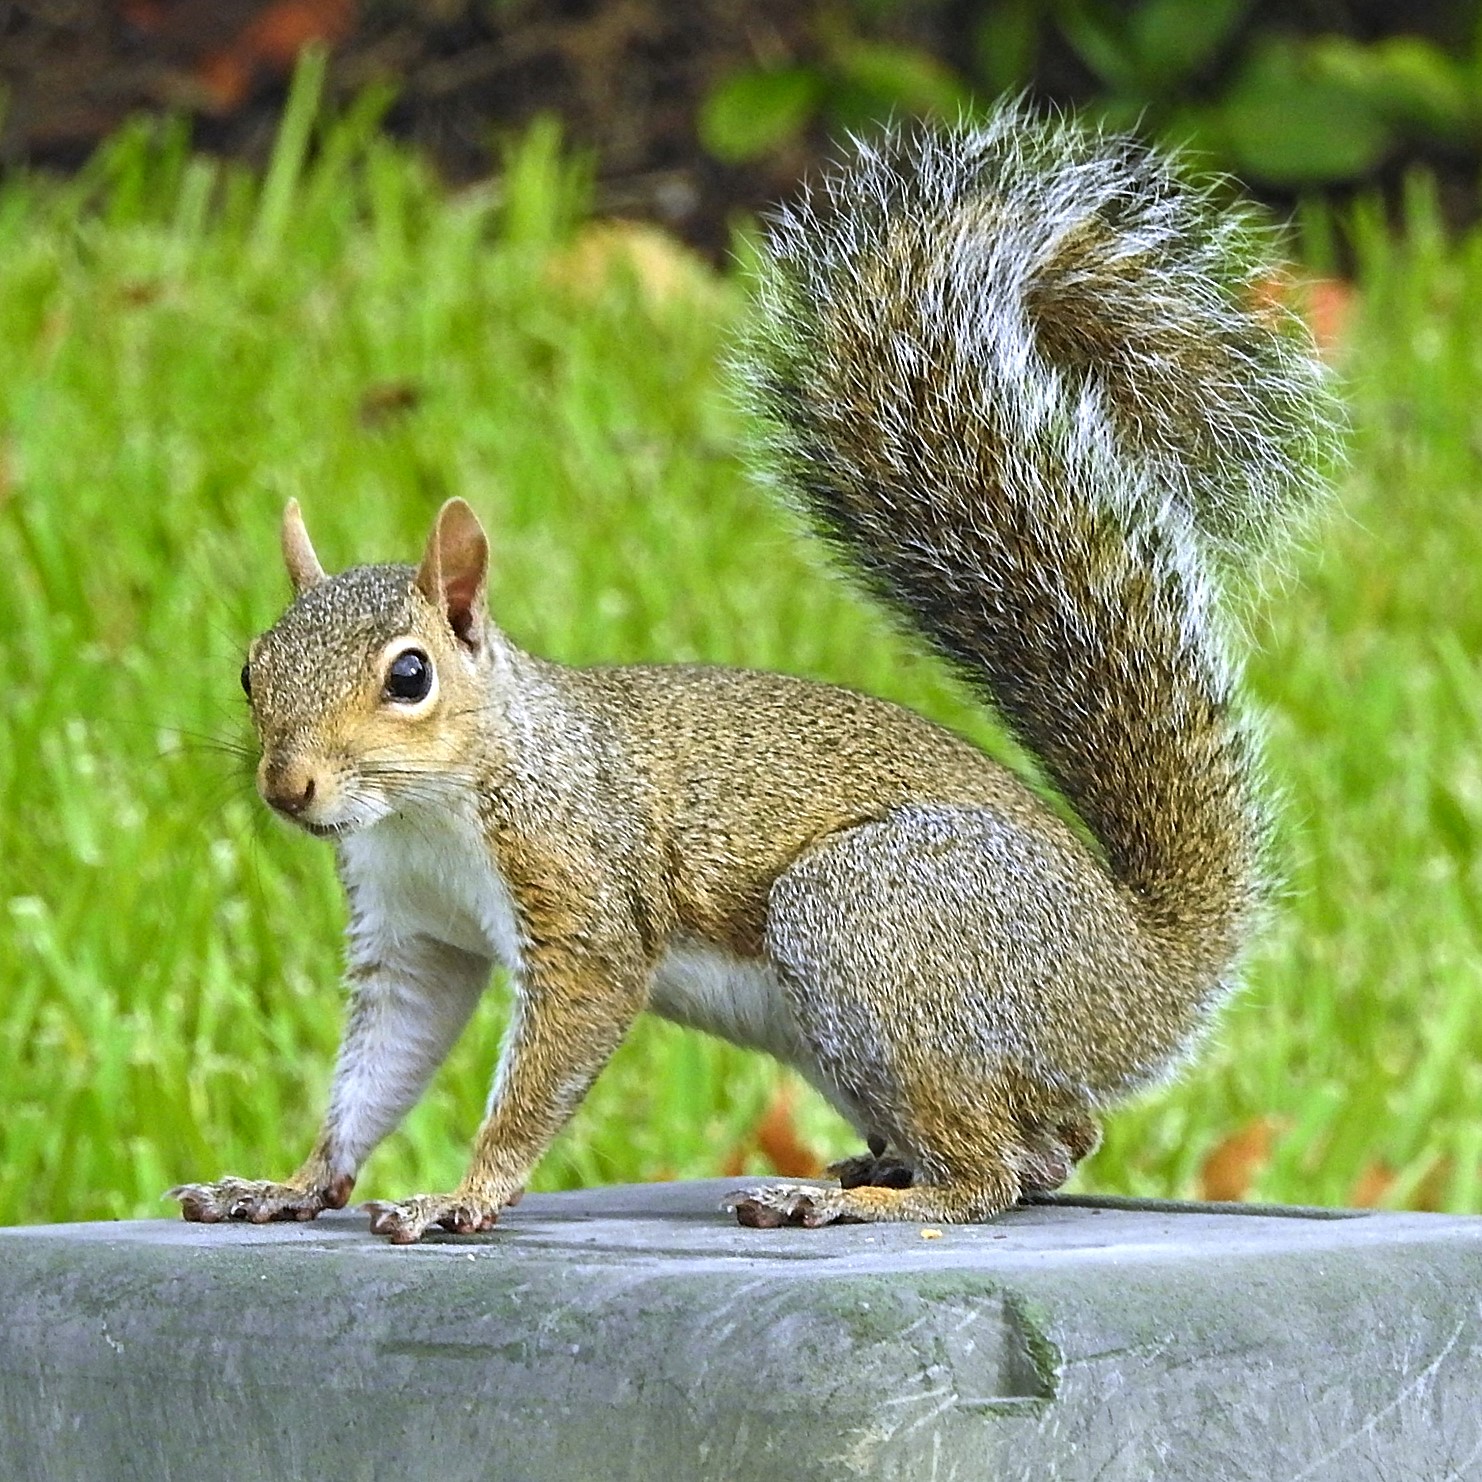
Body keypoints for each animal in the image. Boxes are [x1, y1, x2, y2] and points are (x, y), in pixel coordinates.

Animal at [168, 104, 1339, 1238]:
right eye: (250, 671)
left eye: (409, 677)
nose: (289, 787)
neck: (431, 804)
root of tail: (1137, 977)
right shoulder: (413, 936)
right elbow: (381, 1066)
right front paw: (292, 1183)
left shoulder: (581, 891)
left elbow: (547, 1065)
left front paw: (464, 1196)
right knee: (1053, 1147)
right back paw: (878, 1165)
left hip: (874, 920)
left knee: (994, 1173)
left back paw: (857, 1198)